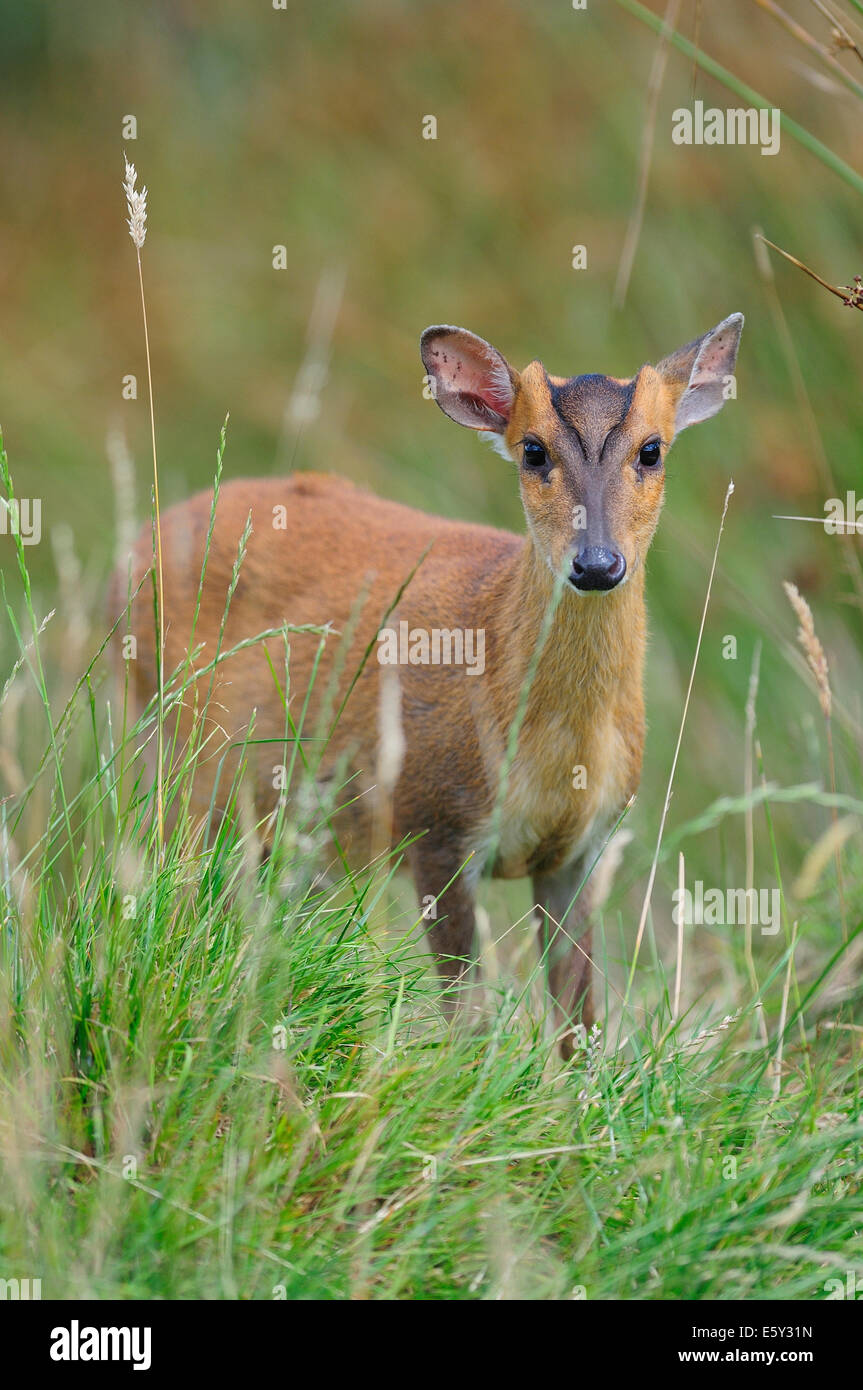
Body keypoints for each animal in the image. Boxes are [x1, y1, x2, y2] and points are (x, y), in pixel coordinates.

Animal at [119, 312, 739, 1050]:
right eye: (533, 451)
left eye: (652, 450)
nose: (595, 564)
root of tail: (136, 543)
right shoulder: (434, 824)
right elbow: (468, 1022)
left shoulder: (581, 847)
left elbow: (579, 1022)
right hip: (183, 761)